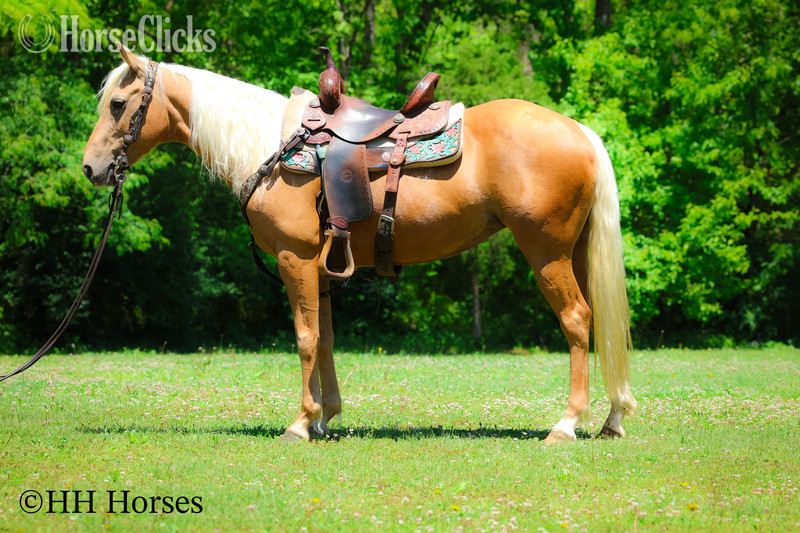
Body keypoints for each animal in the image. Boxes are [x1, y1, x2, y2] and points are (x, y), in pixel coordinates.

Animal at [82, 47, 637, 444]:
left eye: (117, 104)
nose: (91, 168)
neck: (271, 148)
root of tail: (580, 131)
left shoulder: (295, 259)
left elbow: (304, 338)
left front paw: (301, 423)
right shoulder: (322, 268)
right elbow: (325, 338)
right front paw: (326, 417)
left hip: (546, 252)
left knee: (577, 321)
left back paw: (567, 424)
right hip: (577, 254)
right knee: (600, 323)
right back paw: (612, 418)